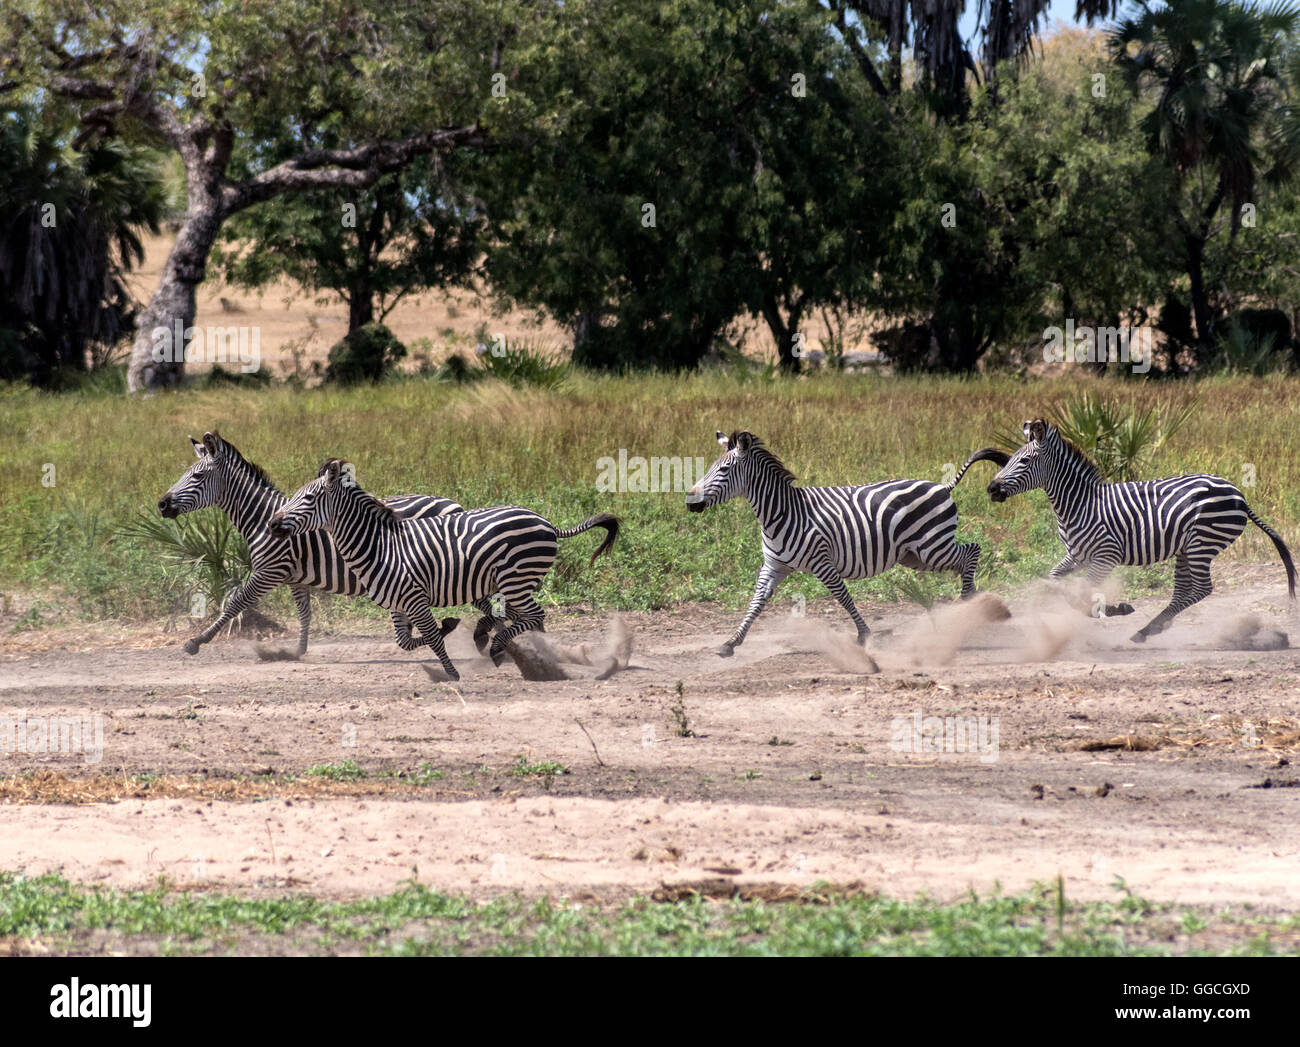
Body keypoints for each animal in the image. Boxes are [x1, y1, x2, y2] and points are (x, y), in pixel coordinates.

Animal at [158, 431, 467, 652]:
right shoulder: (295, 578)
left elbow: (235, 603)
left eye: (197, 476)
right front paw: (299, 651)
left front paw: (197, 642)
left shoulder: (269, 571)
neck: (262, 518)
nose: (161, 504)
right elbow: (305, 614)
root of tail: (453, 503)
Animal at [265, 457, 618, 676]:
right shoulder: (398, 604)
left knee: (535, 616)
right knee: (531, 620)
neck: (379, 546)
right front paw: (451, 628)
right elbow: (406, 642)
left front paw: (452, 672)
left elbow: (433, 637)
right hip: (513, 584)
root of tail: (546, 521)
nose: (272, 524)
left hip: (516, 580)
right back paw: (534, 656)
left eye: (309, 499)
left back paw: (502, 648)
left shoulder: (415, 598)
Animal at [686, 429, 1008, 658]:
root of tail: (943, 486)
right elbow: (756, 602)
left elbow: (843, 597)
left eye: (723, 471)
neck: (781, 512)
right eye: (711, 467)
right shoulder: (774, 566)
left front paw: (864, 636)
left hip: (932, 547)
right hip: (914, 555)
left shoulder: (822, 562)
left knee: (972, 551)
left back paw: (971, 601)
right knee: (965, 557)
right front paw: (730, 642)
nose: (690, 502)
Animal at [987, 416, 1294, 637]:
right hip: (1186, 549)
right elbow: (1053, 582)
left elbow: (1081, 597)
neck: (1081, 504)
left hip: (1201, 543)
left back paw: (1147, 629)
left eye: (1025, 460)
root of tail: (1239, 494)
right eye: (1010, 459)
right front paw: (1114, 607)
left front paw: (1115, 609)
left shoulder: (1105, 557)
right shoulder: (1076, 556)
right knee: (1184, 591)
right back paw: (1152, 628)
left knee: (1201, 589)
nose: (991, 489)